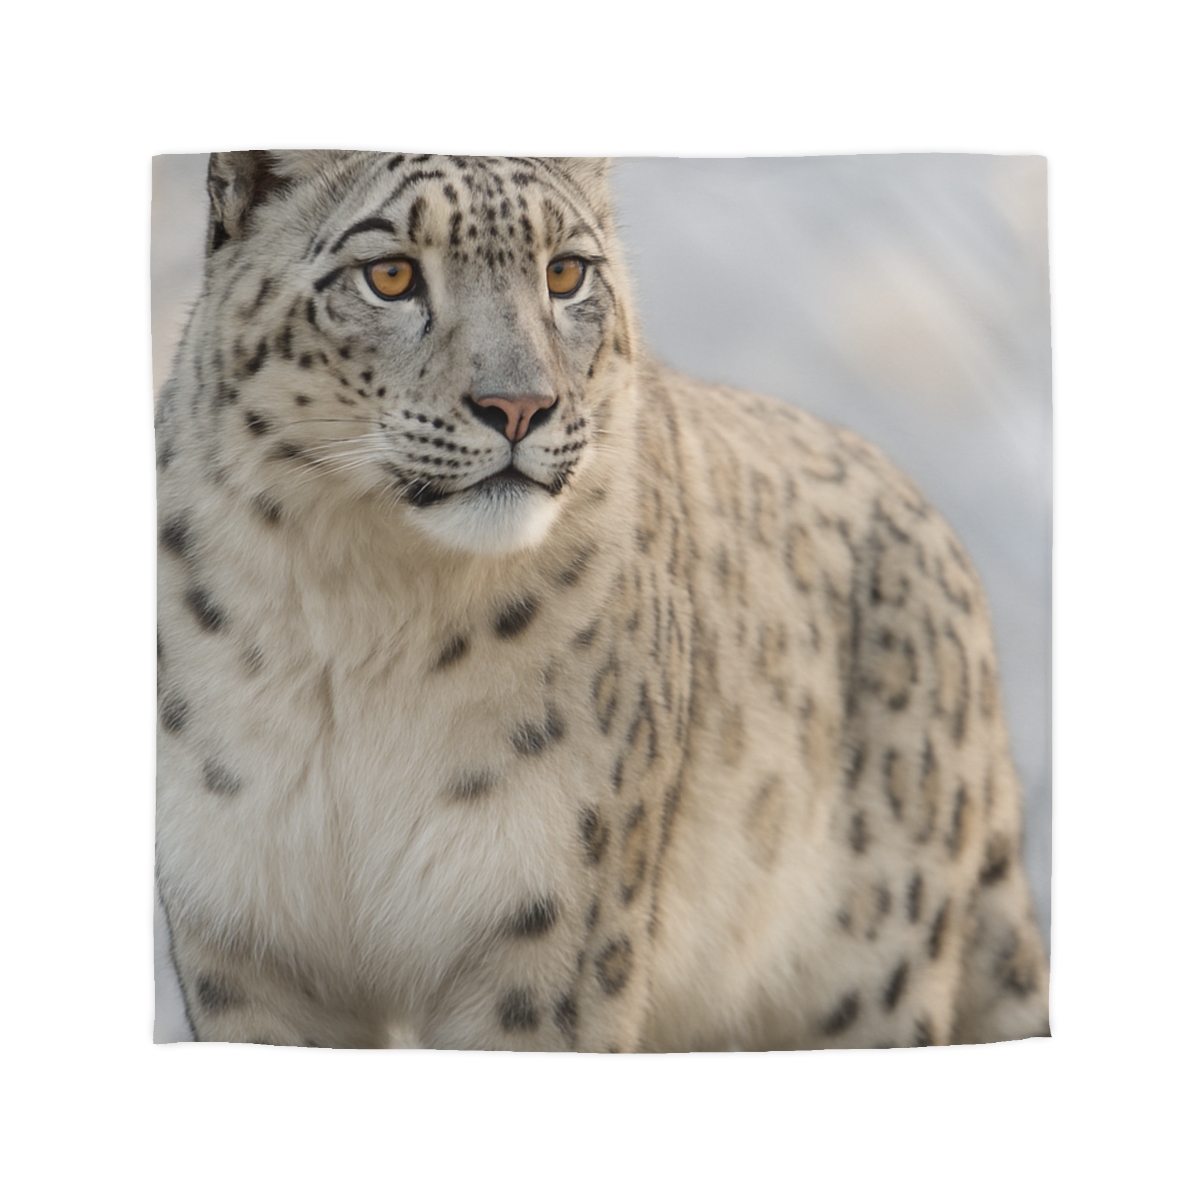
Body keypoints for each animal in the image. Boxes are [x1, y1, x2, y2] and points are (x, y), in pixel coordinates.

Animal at [155, 150, 1049, 1050]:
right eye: (391, 274)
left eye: (565, 272)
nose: (520, 406)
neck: (361, 618)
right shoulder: (241, 935)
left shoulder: (553, 938)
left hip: (868, 983)